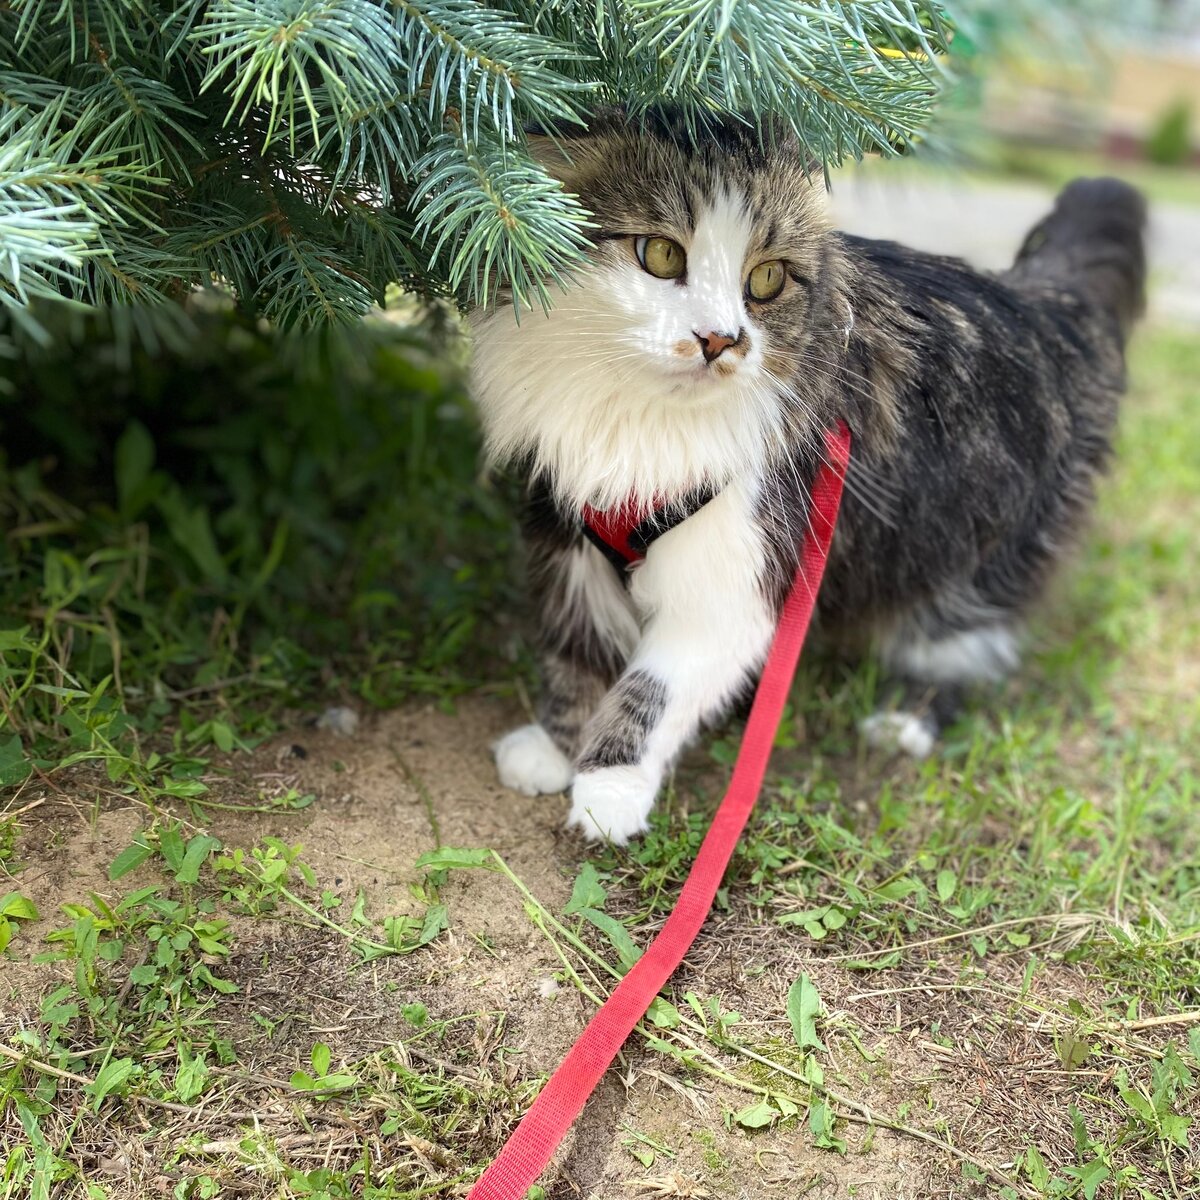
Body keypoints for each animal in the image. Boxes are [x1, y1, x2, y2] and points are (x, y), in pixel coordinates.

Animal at [465, 112, 1142, 844]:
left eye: (765, 280)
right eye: (662, 256)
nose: (720, 340)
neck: (640, 423)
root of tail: (1048, 302)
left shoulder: (735, 580)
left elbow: (652, 691)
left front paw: (609, 789)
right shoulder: (569, 540)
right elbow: (576, 656)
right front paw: (556, 750)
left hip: (971, 557)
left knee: (962, 646)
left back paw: (904, 722)